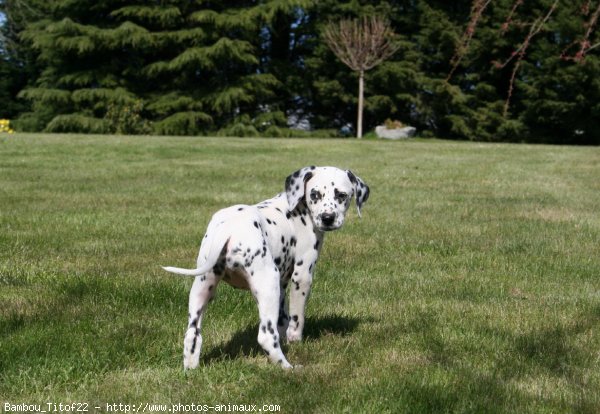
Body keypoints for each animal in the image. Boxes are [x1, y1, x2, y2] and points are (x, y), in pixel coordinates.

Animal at [164, 165, 370, 368]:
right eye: (315, 194)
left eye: (341, 195)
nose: (328, 217)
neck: (297, 207)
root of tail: (228, 229)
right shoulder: (302, 275)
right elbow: (296, 318)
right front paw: (295, 340)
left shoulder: (282, 285)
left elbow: (283, 318)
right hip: (267, 284)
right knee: (266, 337)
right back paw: (288, 368)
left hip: (203, 286)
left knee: (192, 335)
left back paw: (190, 369)